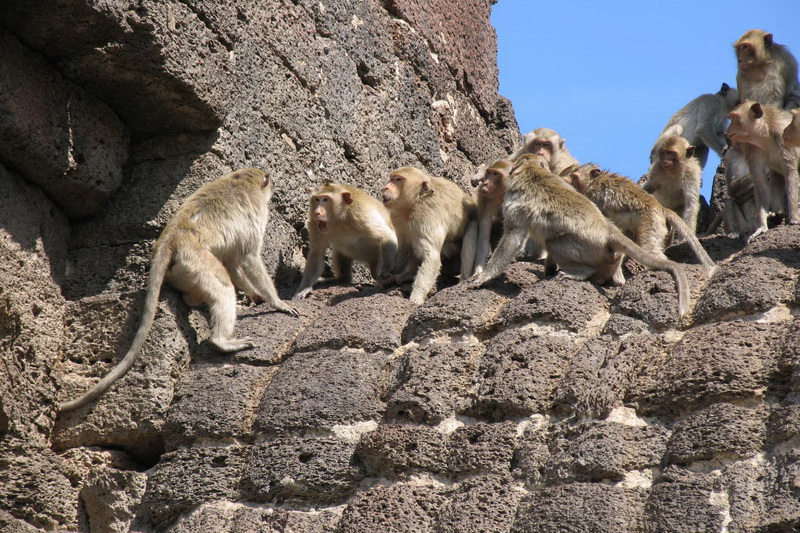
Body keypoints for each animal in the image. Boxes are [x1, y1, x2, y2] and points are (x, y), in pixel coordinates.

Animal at [382, 166, 476, 304]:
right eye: (391, 179)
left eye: (398, 180)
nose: (386, 187)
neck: (416, 202)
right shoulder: (397, 216)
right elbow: (405, 248)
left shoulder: (427, 214)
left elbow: (431, 256)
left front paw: (416, 298)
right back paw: (407, 275)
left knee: (471, 227)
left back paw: (463, 279)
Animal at [466, 154, 692, 318]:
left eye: (493, 174)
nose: (483, 183)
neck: (533, 169)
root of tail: (607, 229)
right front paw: (547, 269)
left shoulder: (514, 199)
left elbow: (513, 238)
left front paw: (484, 277)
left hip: (591, 250)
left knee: (554, 242)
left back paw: (580, 272)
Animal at [564, 163, 716, 270]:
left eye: (574, 177)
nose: (567, 182)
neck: (593, 182)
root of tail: (660, 207)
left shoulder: (594, 196)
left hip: (651, 222)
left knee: (650, 247)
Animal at [728, 100, 796, 241]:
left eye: (734, 118)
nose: (728, 130)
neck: (765, 134)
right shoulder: (752, 149)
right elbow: (760, 182)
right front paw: (762, 227)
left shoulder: (783, 136)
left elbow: (790, 171)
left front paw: (794, 218)